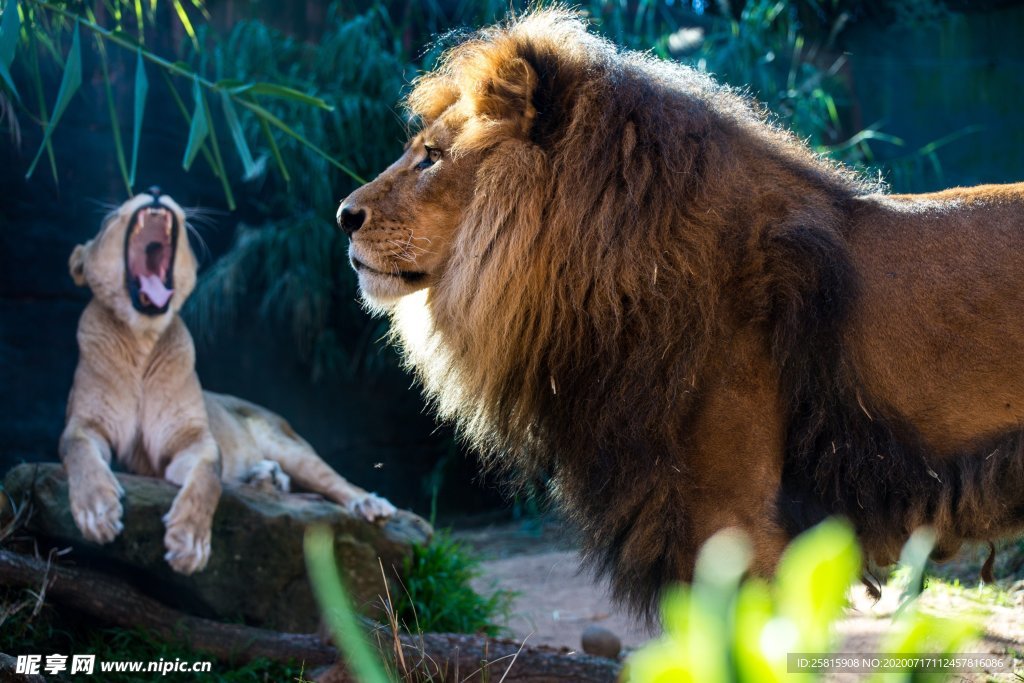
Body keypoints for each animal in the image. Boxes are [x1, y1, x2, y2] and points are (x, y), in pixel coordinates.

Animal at [61, 189, 393, 573]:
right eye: (109, 219)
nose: (156, 191)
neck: (142, 341)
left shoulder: (196, 439)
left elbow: (208, 479)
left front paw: (189, 544)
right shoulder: (84, 425)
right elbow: (79, 452)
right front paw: (97, 513)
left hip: (289, 445)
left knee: (334, 481)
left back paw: (369, 503)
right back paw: (265, 477)